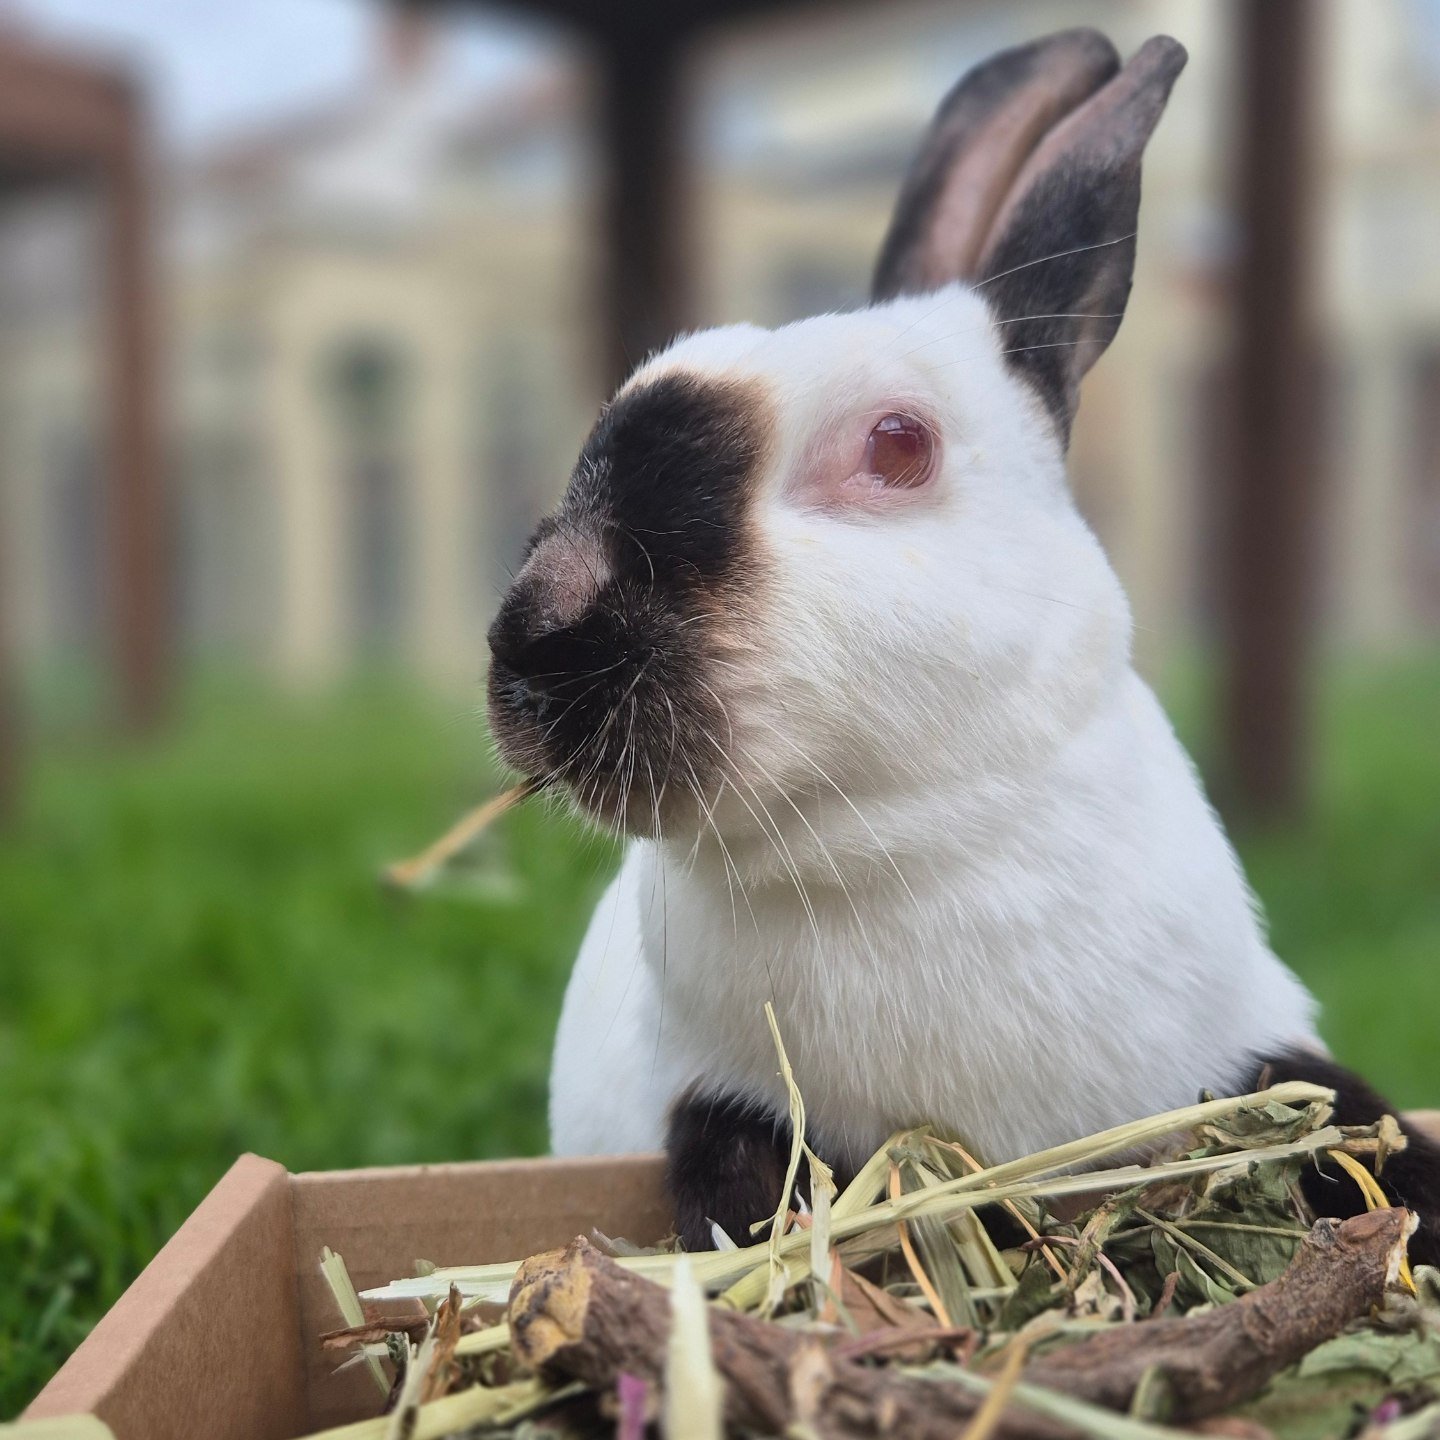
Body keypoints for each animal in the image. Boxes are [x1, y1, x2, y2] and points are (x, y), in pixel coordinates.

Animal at [487, 28, 1440, 1260]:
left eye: (899, 446)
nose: (533, 632)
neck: (914, 841)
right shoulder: (717, 1105)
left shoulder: (1254, 1049)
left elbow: (1347, 1115)